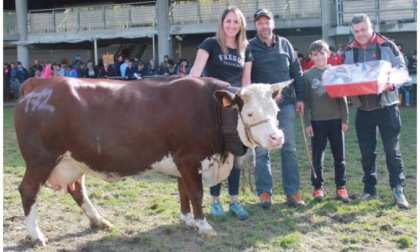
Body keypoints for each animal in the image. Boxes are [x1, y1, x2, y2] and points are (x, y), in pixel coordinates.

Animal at [13, 76, 292, 245]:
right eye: (250, 113)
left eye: (276, 111)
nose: (277, 137)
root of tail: (39, 83)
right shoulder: (189, 157)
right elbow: (196, 193)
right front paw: (202, 225)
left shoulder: (182, 163)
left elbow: (183, 192)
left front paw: (187, 220)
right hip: (40, 159)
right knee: (28, 191)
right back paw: (36, 235)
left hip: (74, 160)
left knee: (76, 189)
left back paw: (99, 221)